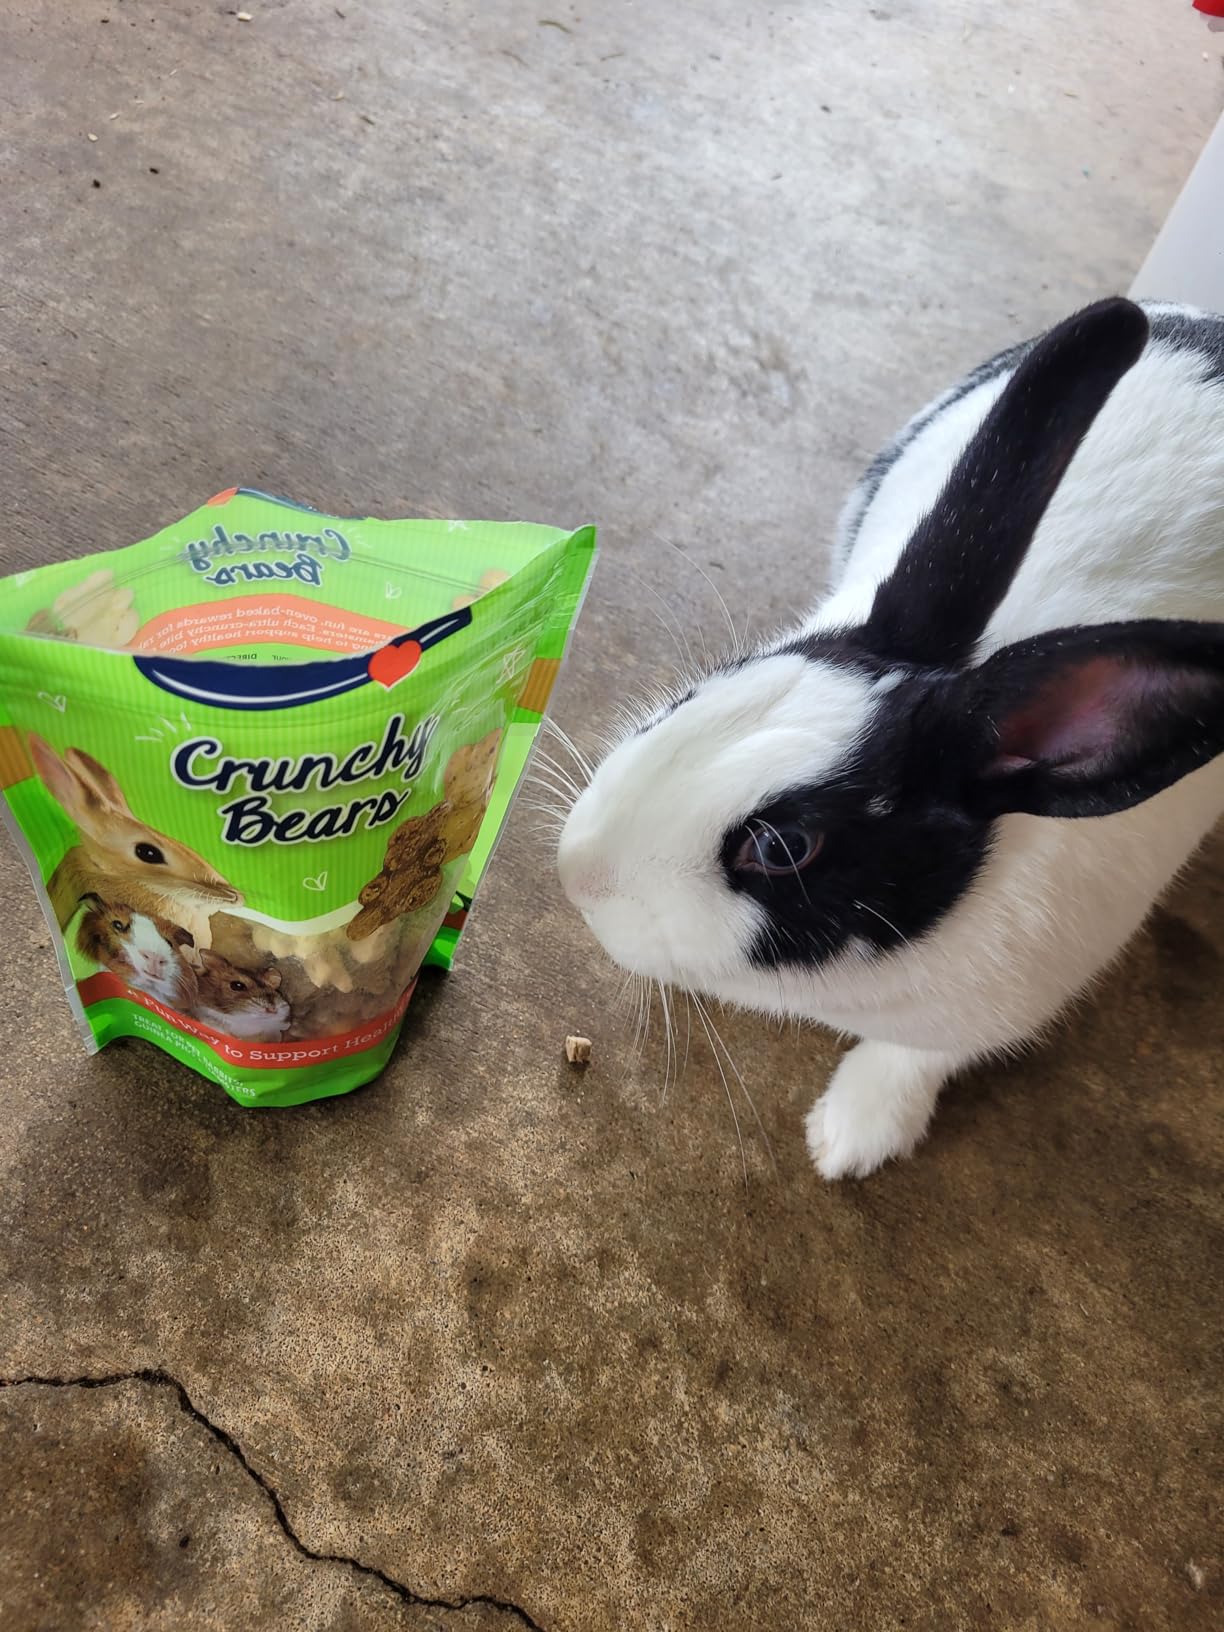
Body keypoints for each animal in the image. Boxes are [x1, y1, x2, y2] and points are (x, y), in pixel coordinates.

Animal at [558, 297, 1224, 1180]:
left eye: (782, 848)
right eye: (696, 695)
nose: (577, 875)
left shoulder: (989, 1012)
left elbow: (913, 1059)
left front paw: (849, 1140)